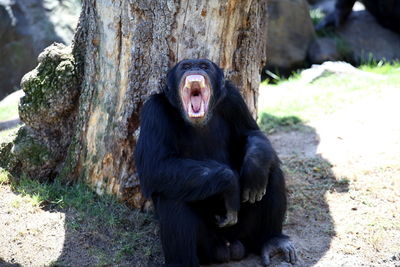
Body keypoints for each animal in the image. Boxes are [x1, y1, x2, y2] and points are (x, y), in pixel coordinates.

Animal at [136, 59, 296, 266]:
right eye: (185, 66)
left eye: (204, 66)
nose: (194, 69)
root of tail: (228, 246)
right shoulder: (153, 111)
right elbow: (155, 165)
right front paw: (230, 184)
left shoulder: (234, 100)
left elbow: (251, 132)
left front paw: (255, 167)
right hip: (207, 246)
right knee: (171, 195)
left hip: (246, 234)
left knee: (272, 172)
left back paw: (273, 240)